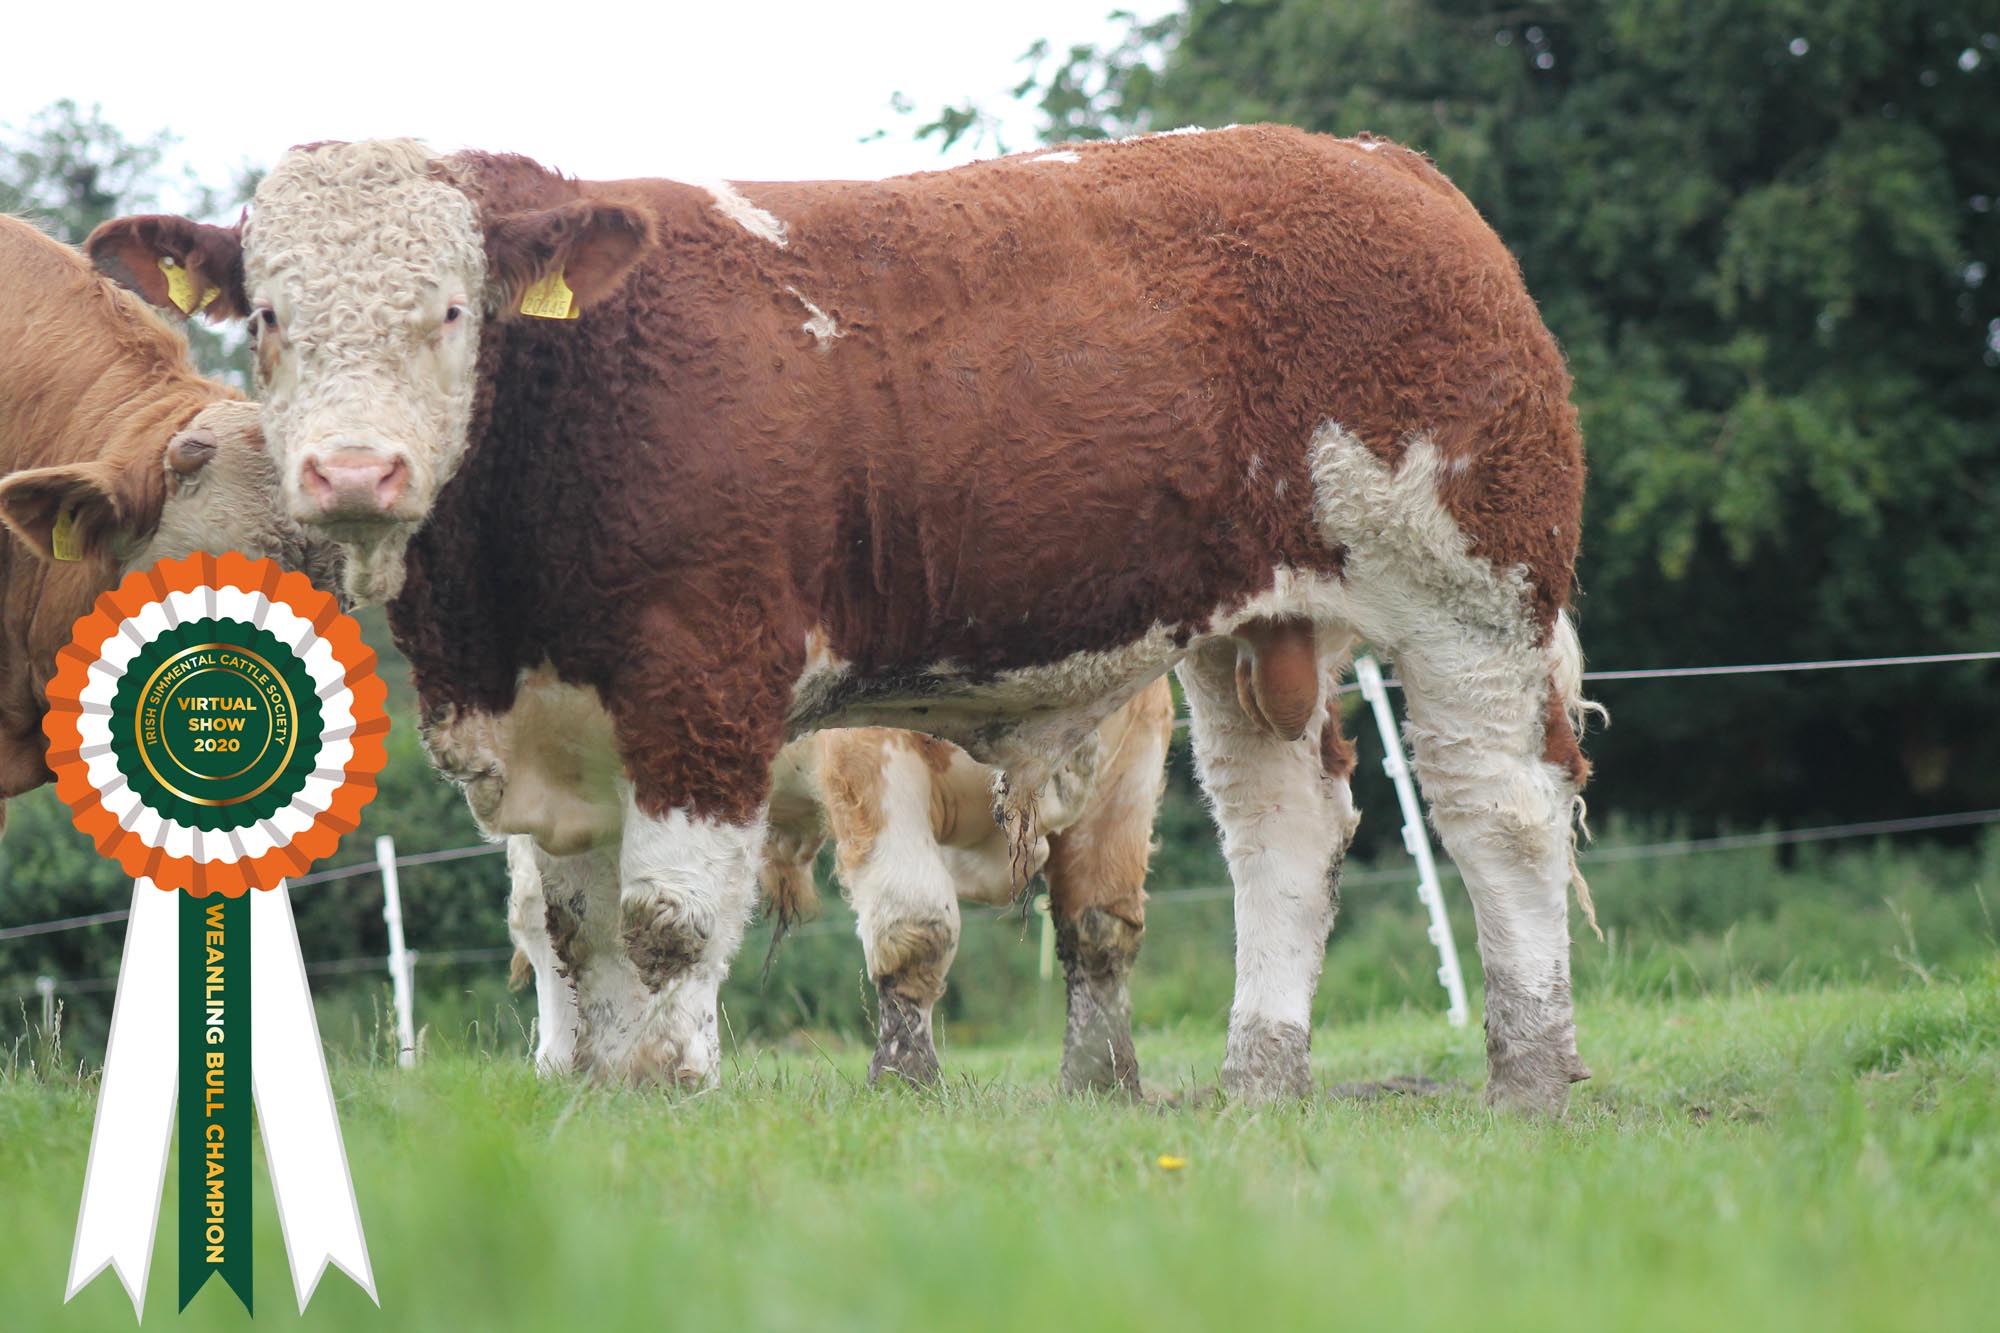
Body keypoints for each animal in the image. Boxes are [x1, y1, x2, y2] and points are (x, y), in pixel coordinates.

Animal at [508, 679, 1173, 1091]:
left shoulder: (1133, 757)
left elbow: (1102, 929)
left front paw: (1103, 1080)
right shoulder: (873, 755)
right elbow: (917, 926)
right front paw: (907, 1078)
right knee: (555, 923)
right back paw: (568, 1061)